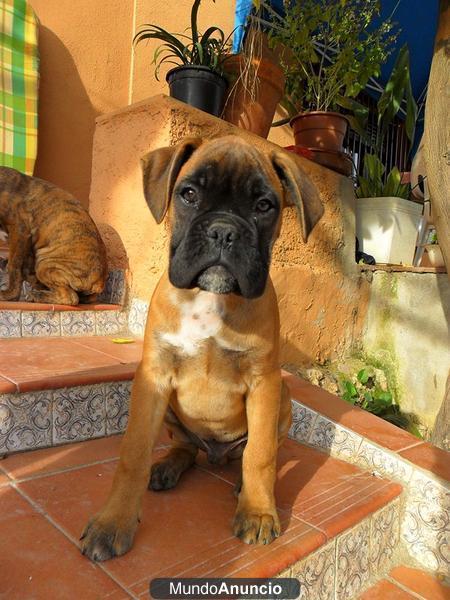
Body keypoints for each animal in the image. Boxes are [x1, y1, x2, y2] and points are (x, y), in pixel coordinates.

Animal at [0, 166, 107, 304]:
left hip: (46, 265)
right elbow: (24, 269)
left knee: (70, 297)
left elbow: (13, 266)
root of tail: (99, 281)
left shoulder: (19, 230)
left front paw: (9, 295)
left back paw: (37, 295)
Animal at [79, 134, 322, 560]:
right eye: (188, 194)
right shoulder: (154, 377)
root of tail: (216, 453)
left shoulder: (264, 382)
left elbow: (261, 455)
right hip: (172, 413)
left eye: (264, 206)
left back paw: (244, 486)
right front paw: (113, 523)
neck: (211, 298)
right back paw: (168, 465)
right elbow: (133, 454)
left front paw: (258, 512)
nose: (223, 231)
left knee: (251, 453)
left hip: (284, 398)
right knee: (185, 447)